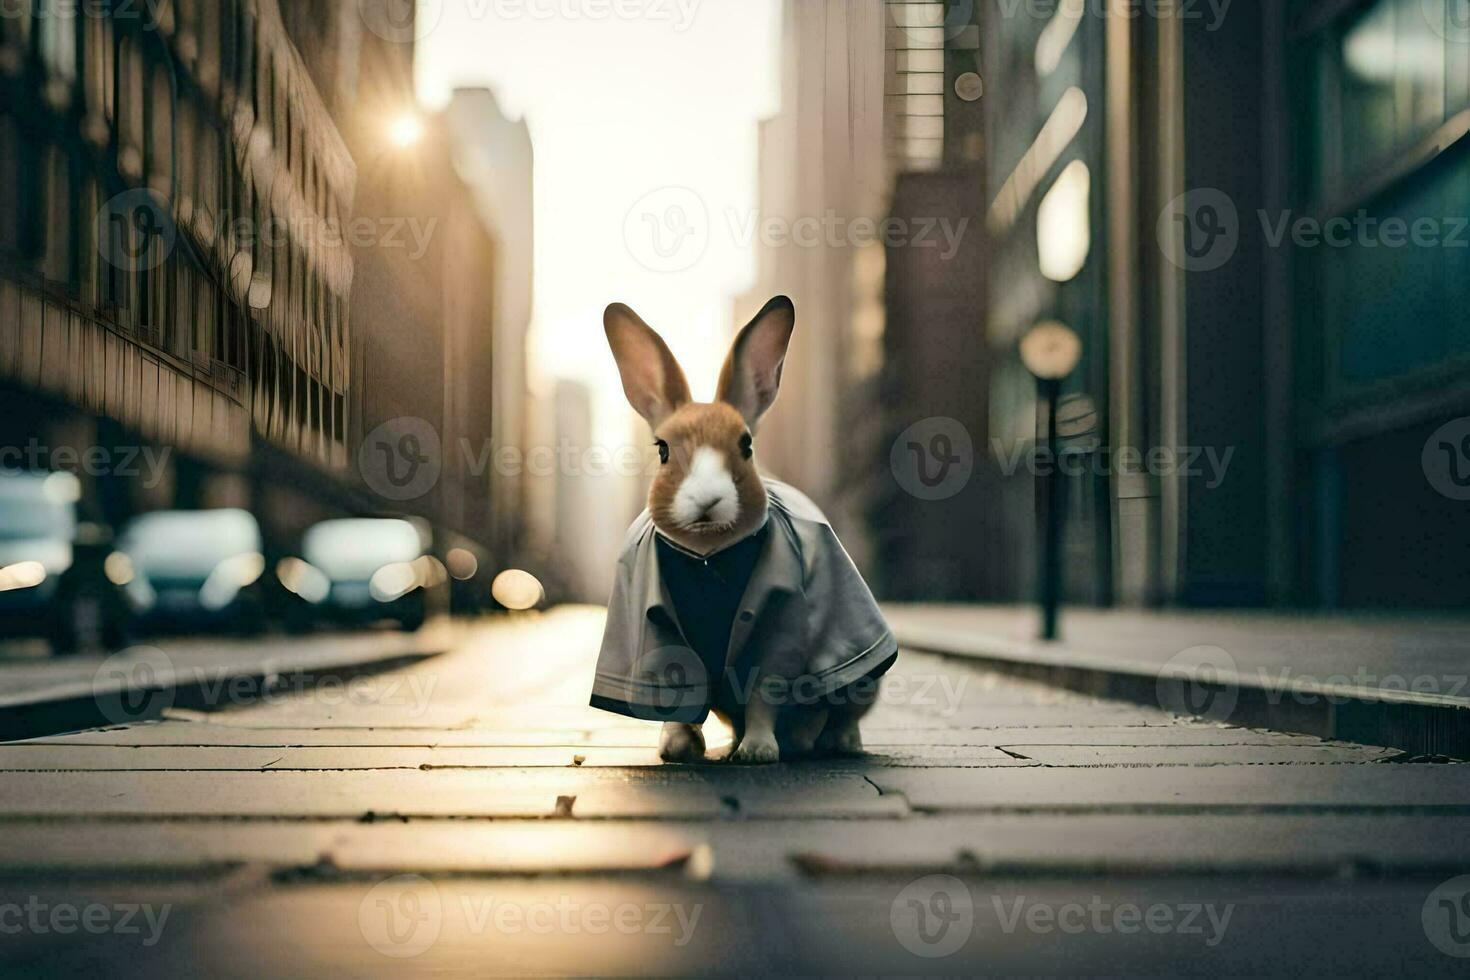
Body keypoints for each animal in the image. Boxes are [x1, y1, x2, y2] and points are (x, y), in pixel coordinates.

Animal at [593, 295, 893, 764]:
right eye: (663, 450)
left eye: (746, 444)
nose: (707, 499)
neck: (708, 556)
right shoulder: (660, 628)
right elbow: (677, 690)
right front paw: (677, 748)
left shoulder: (777, 628)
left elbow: (763, 692)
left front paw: (758, 752)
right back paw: (733, 744)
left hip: (861, 680)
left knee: (844, 712)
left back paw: (832, 743)